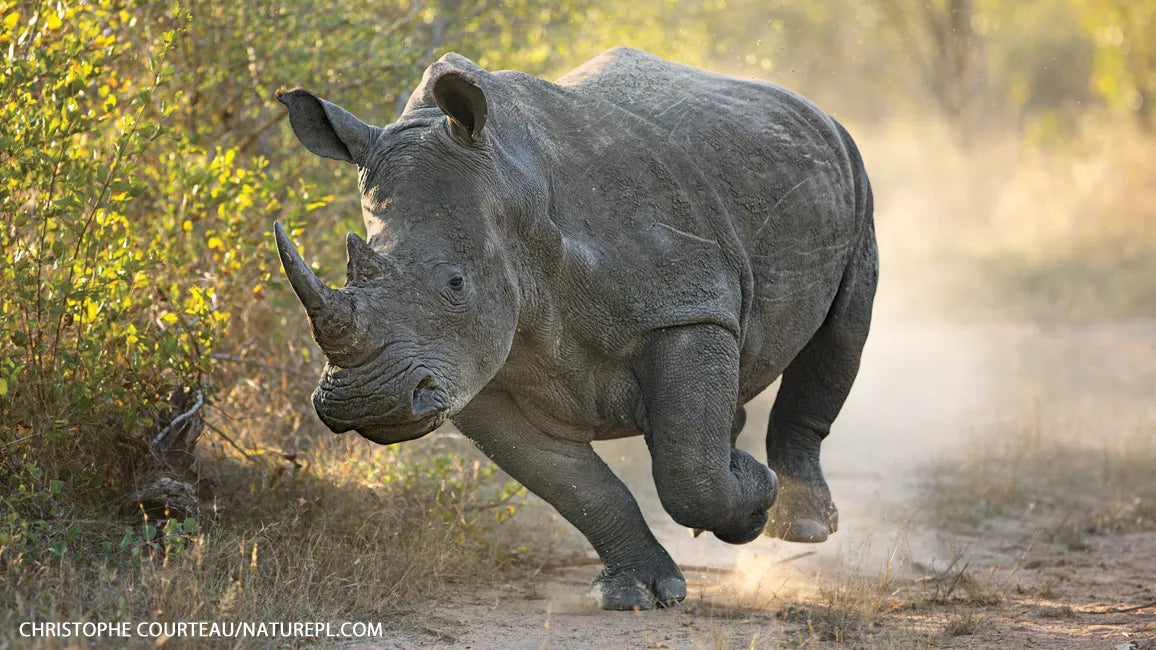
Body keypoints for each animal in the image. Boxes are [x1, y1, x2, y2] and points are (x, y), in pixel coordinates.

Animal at [274, 47, 876, 610]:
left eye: (456, 283)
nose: (365, 402)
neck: (513, 190)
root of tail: (809, 106)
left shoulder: (688, 306)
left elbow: (689, 476)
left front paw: (753, 499)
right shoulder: (475, 375)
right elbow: (578, 488)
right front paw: (635, 594)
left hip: (852, 169)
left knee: (842, 333)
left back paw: (803, 526)